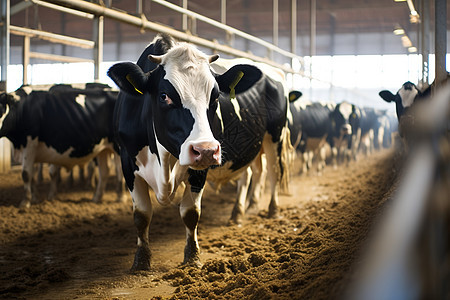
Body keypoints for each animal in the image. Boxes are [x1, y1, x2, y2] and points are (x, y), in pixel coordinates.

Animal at [107, 34, 290, 270]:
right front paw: (141, 261)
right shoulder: (127, 161)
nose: (206, 150)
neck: (162, 162)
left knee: (274, 172)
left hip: (275, 136)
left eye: (215, 96)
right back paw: (238, 213)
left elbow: (190, 213)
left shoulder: (200, 168)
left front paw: (192, 257)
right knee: (250, 173)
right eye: (164, 96)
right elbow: (141, 215)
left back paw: (272, 210)